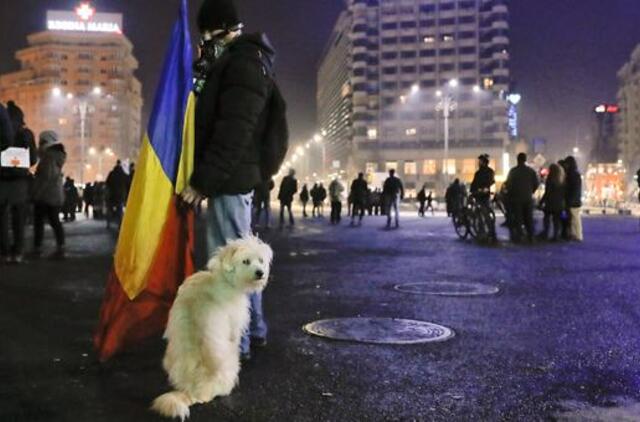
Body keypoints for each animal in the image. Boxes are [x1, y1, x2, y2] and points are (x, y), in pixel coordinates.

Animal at [152, 236, 272, 420]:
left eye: (261, 260)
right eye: (246, 261)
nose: (260, 273)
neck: (225, 279)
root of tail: (195, 391)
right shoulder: (235, 325)